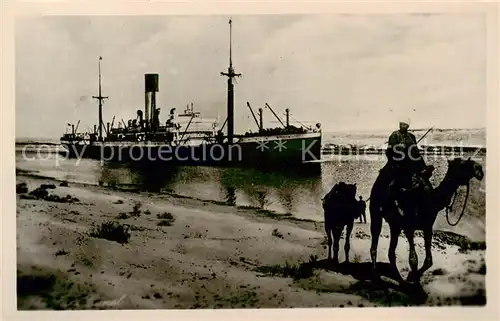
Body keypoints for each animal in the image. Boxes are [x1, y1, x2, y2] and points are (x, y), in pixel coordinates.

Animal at [368, 156, 484, 284]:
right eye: (463, 164)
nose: (480, 170)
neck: (431, 200)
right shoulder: (408, 226)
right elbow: (413, 259)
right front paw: (413, 279)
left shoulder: (428, 226)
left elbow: (429, 261)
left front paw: (413, 277)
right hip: (375, 211)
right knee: (374, 243)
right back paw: (375, 277)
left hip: (395, 224)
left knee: (391, 252)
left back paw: (400, 279)